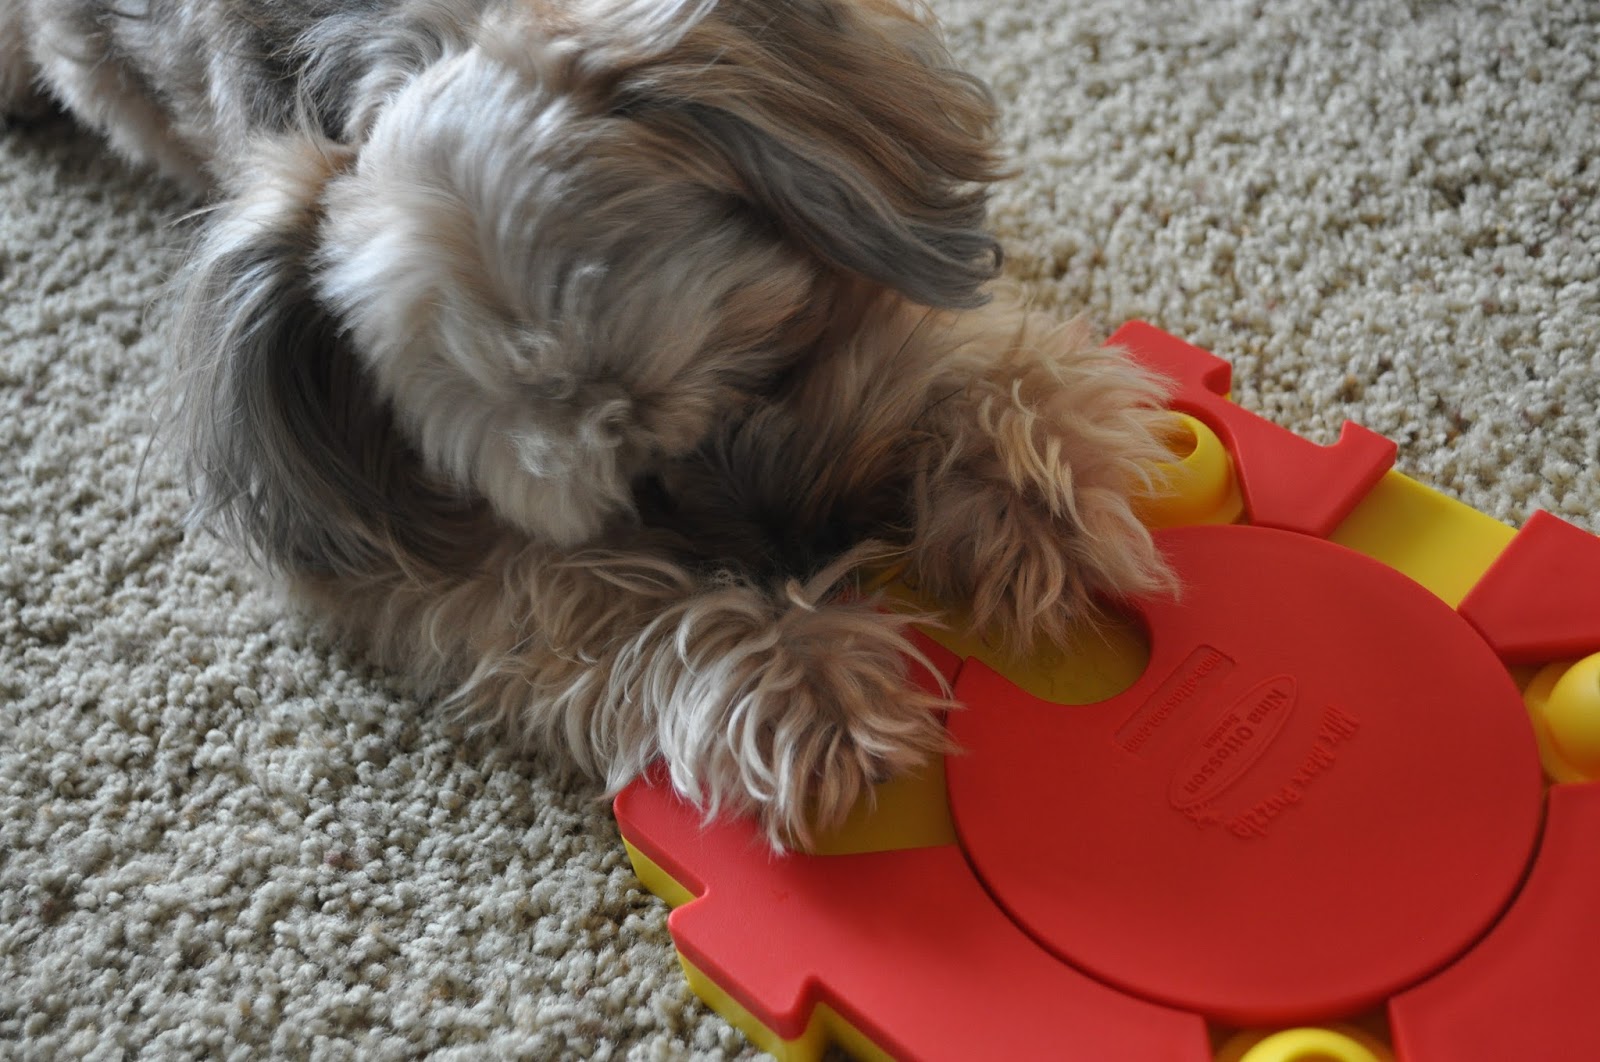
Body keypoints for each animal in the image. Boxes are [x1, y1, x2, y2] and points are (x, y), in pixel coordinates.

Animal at [0, 0, 1177, 844]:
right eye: (630, 493)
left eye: (776, 362)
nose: (817, 548)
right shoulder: (391, 558)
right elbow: (573, 598)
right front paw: (795, 680)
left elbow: (945, 346)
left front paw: (1032, 490)